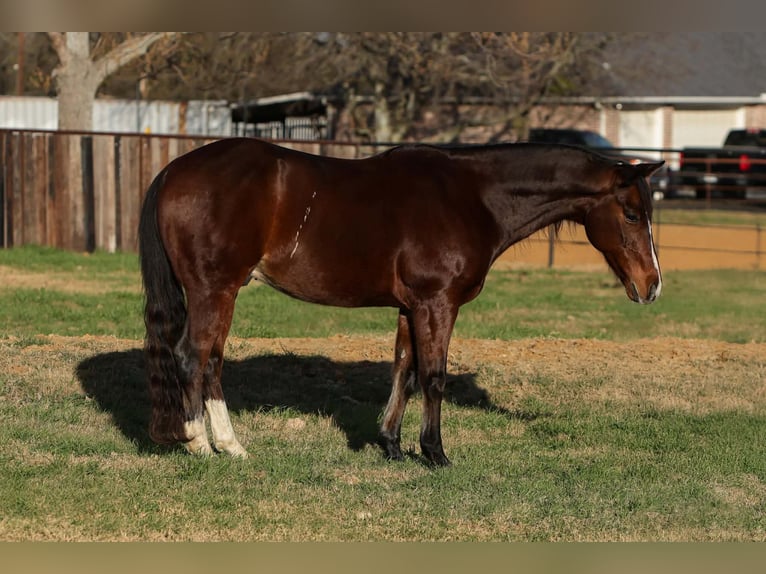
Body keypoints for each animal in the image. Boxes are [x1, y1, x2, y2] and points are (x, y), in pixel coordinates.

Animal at [138, 137, 663, 467]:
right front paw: (434, 453)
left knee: (210, 360)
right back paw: (201, 444)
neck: (471, 197)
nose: (652, 285)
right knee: (194, 357)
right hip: (214, 290)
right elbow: (433, 376)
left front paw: (390, 445)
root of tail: (171, 171)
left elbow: (403, 373)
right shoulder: (438, 303)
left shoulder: (411, 307)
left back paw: (227, 445)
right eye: (631, 213)